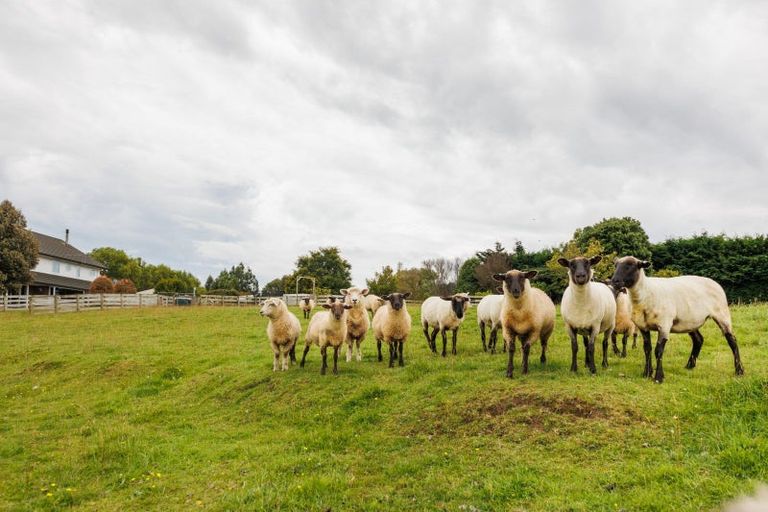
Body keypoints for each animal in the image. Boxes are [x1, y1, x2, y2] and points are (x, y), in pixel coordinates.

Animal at [612, 254, 744, 382]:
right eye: (616, 265)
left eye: (630, 265)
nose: (614, 281)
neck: (645, 294)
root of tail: (715, 283)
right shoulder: (643, 326)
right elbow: (647, 349)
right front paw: (647, 373)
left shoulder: (664, 325)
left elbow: (658, 351)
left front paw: (659, 377)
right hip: (690, 321)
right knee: (698, 340)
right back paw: (690, 365)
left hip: (722, 314)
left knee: (732, 340)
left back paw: (739, 371)